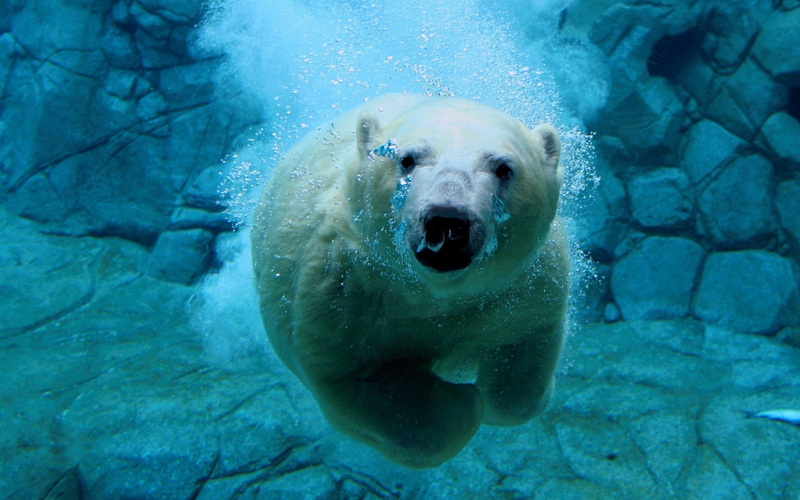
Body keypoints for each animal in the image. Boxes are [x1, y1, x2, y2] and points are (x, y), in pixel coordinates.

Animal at [251, 93, 568, 468]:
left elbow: (523, 355)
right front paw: (461, 401)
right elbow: (353, 378)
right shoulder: (341, 288)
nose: (447, 220)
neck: (433, 292)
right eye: (406, 159)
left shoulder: (522, 285)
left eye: (504, 167)